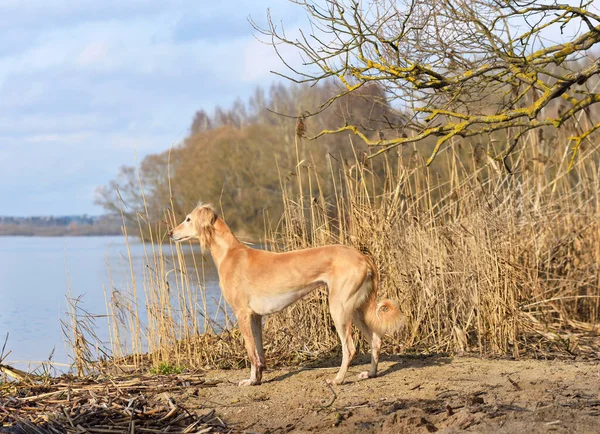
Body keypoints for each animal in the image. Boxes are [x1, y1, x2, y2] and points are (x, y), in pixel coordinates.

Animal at [169, 203, 404, 386]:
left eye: (188, 219)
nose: (170, 233)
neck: (230, 253)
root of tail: (364, 258)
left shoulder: (242, 314)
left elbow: (250, 352)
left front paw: (250, 381)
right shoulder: (256, 317)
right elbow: (259, 353)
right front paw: (258, 379)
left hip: (339, 309)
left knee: (350, 348)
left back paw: (337, 380)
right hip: (355, 309)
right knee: (376, 340)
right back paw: (371, 373)